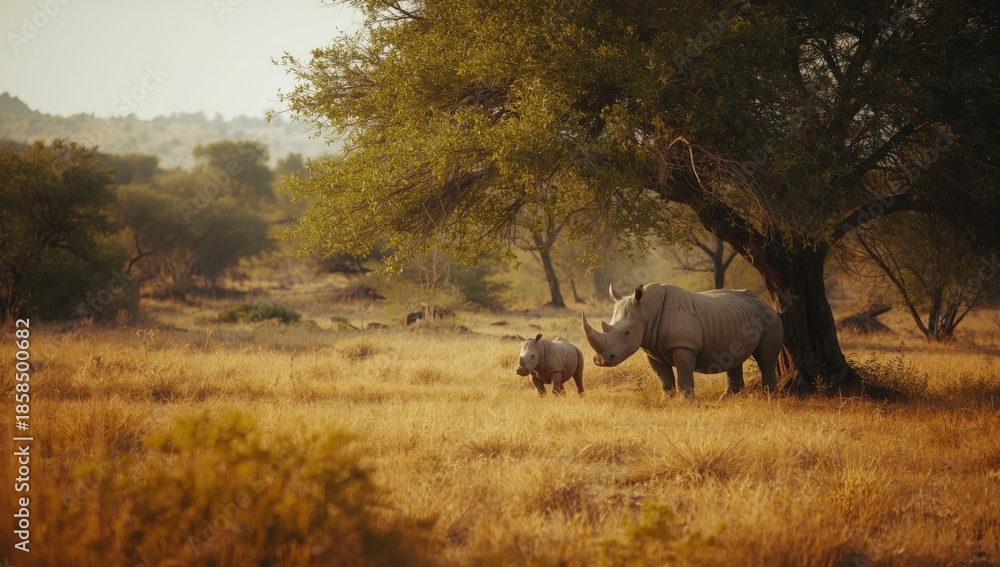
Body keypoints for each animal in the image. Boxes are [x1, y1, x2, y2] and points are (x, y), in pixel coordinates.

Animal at [582, 283, 783, 399]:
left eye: (626, 332)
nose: (600, 360)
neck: (646, 310)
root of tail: (764, 302)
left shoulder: (683, 346)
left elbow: (684, 378)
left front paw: (688, 404)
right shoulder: (651, 349)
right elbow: (665, 381)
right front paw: (666, 403)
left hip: (769, 317)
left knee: (766, 359)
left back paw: (766, 399)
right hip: (735, 318)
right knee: (735, 356)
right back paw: (725, 400)